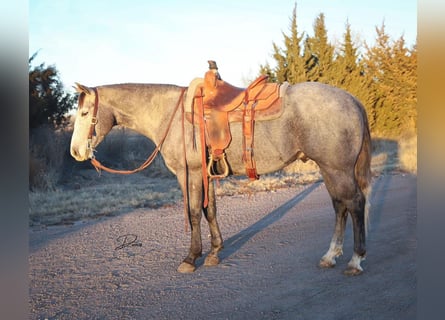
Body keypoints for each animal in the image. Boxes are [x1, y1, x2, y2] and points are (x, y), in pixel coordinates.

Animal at [70, 80, 372, 276]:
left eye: (85, 113)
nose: (76, 151)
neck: (172, 115)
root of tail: (353, 100)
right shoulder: (206, 174)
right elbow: (210, 210)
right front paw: (215, 252)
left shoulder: (189, 173)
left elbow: (193, 213)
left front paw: (191, 258)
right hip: (329, 168)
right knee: (340, 206)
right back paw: (330, 256)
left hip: (337, 168)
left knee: (355, 203)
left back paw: (355, 260)